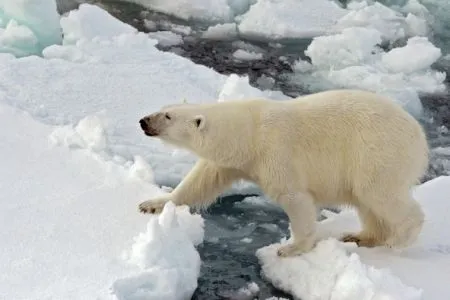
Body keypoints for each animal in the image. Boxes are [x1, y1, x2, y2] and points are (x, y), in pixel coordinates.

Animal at [138, 88, 428, 256]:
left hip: (377, 152)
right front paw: (153, 203)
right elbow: (201, 181)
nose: (143, 121)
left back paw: (399, 239)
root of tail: (419, 135)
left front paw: (290, 248)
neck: (249, 134)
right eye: (163, 109)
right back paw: (361, 236)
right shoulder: (232, 162)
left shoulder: (276, 153)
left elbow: (294, 197)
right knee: (367, 203)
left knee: (379, 193)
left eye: (168, 117)